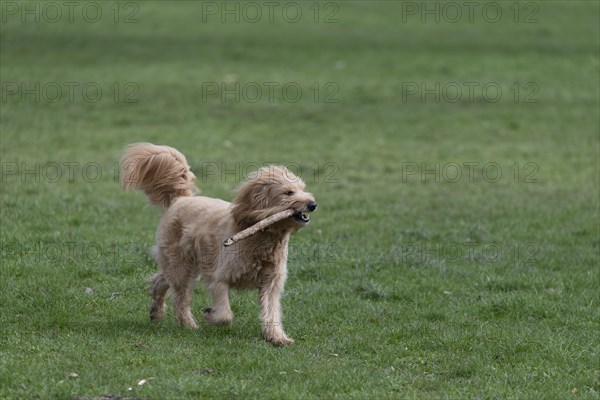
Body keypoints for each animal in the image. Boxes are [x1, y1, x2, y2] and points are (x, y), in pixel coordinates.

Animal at [119, 143, 316, 344]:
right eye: (289, 192)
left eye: (303, 189)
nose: (313, 204)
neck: (262, 238)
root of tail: (181, 198)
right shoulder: (220, 277)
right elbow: (224, 314)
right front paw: (209, 314)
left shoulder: (271, 283)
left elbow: (271, 311)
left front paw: (277, 337)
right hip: (181, 264)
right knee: (180, 298)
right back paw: (189, 325)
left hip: (182, 264)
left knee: (162, 280)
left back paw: (156, 311)